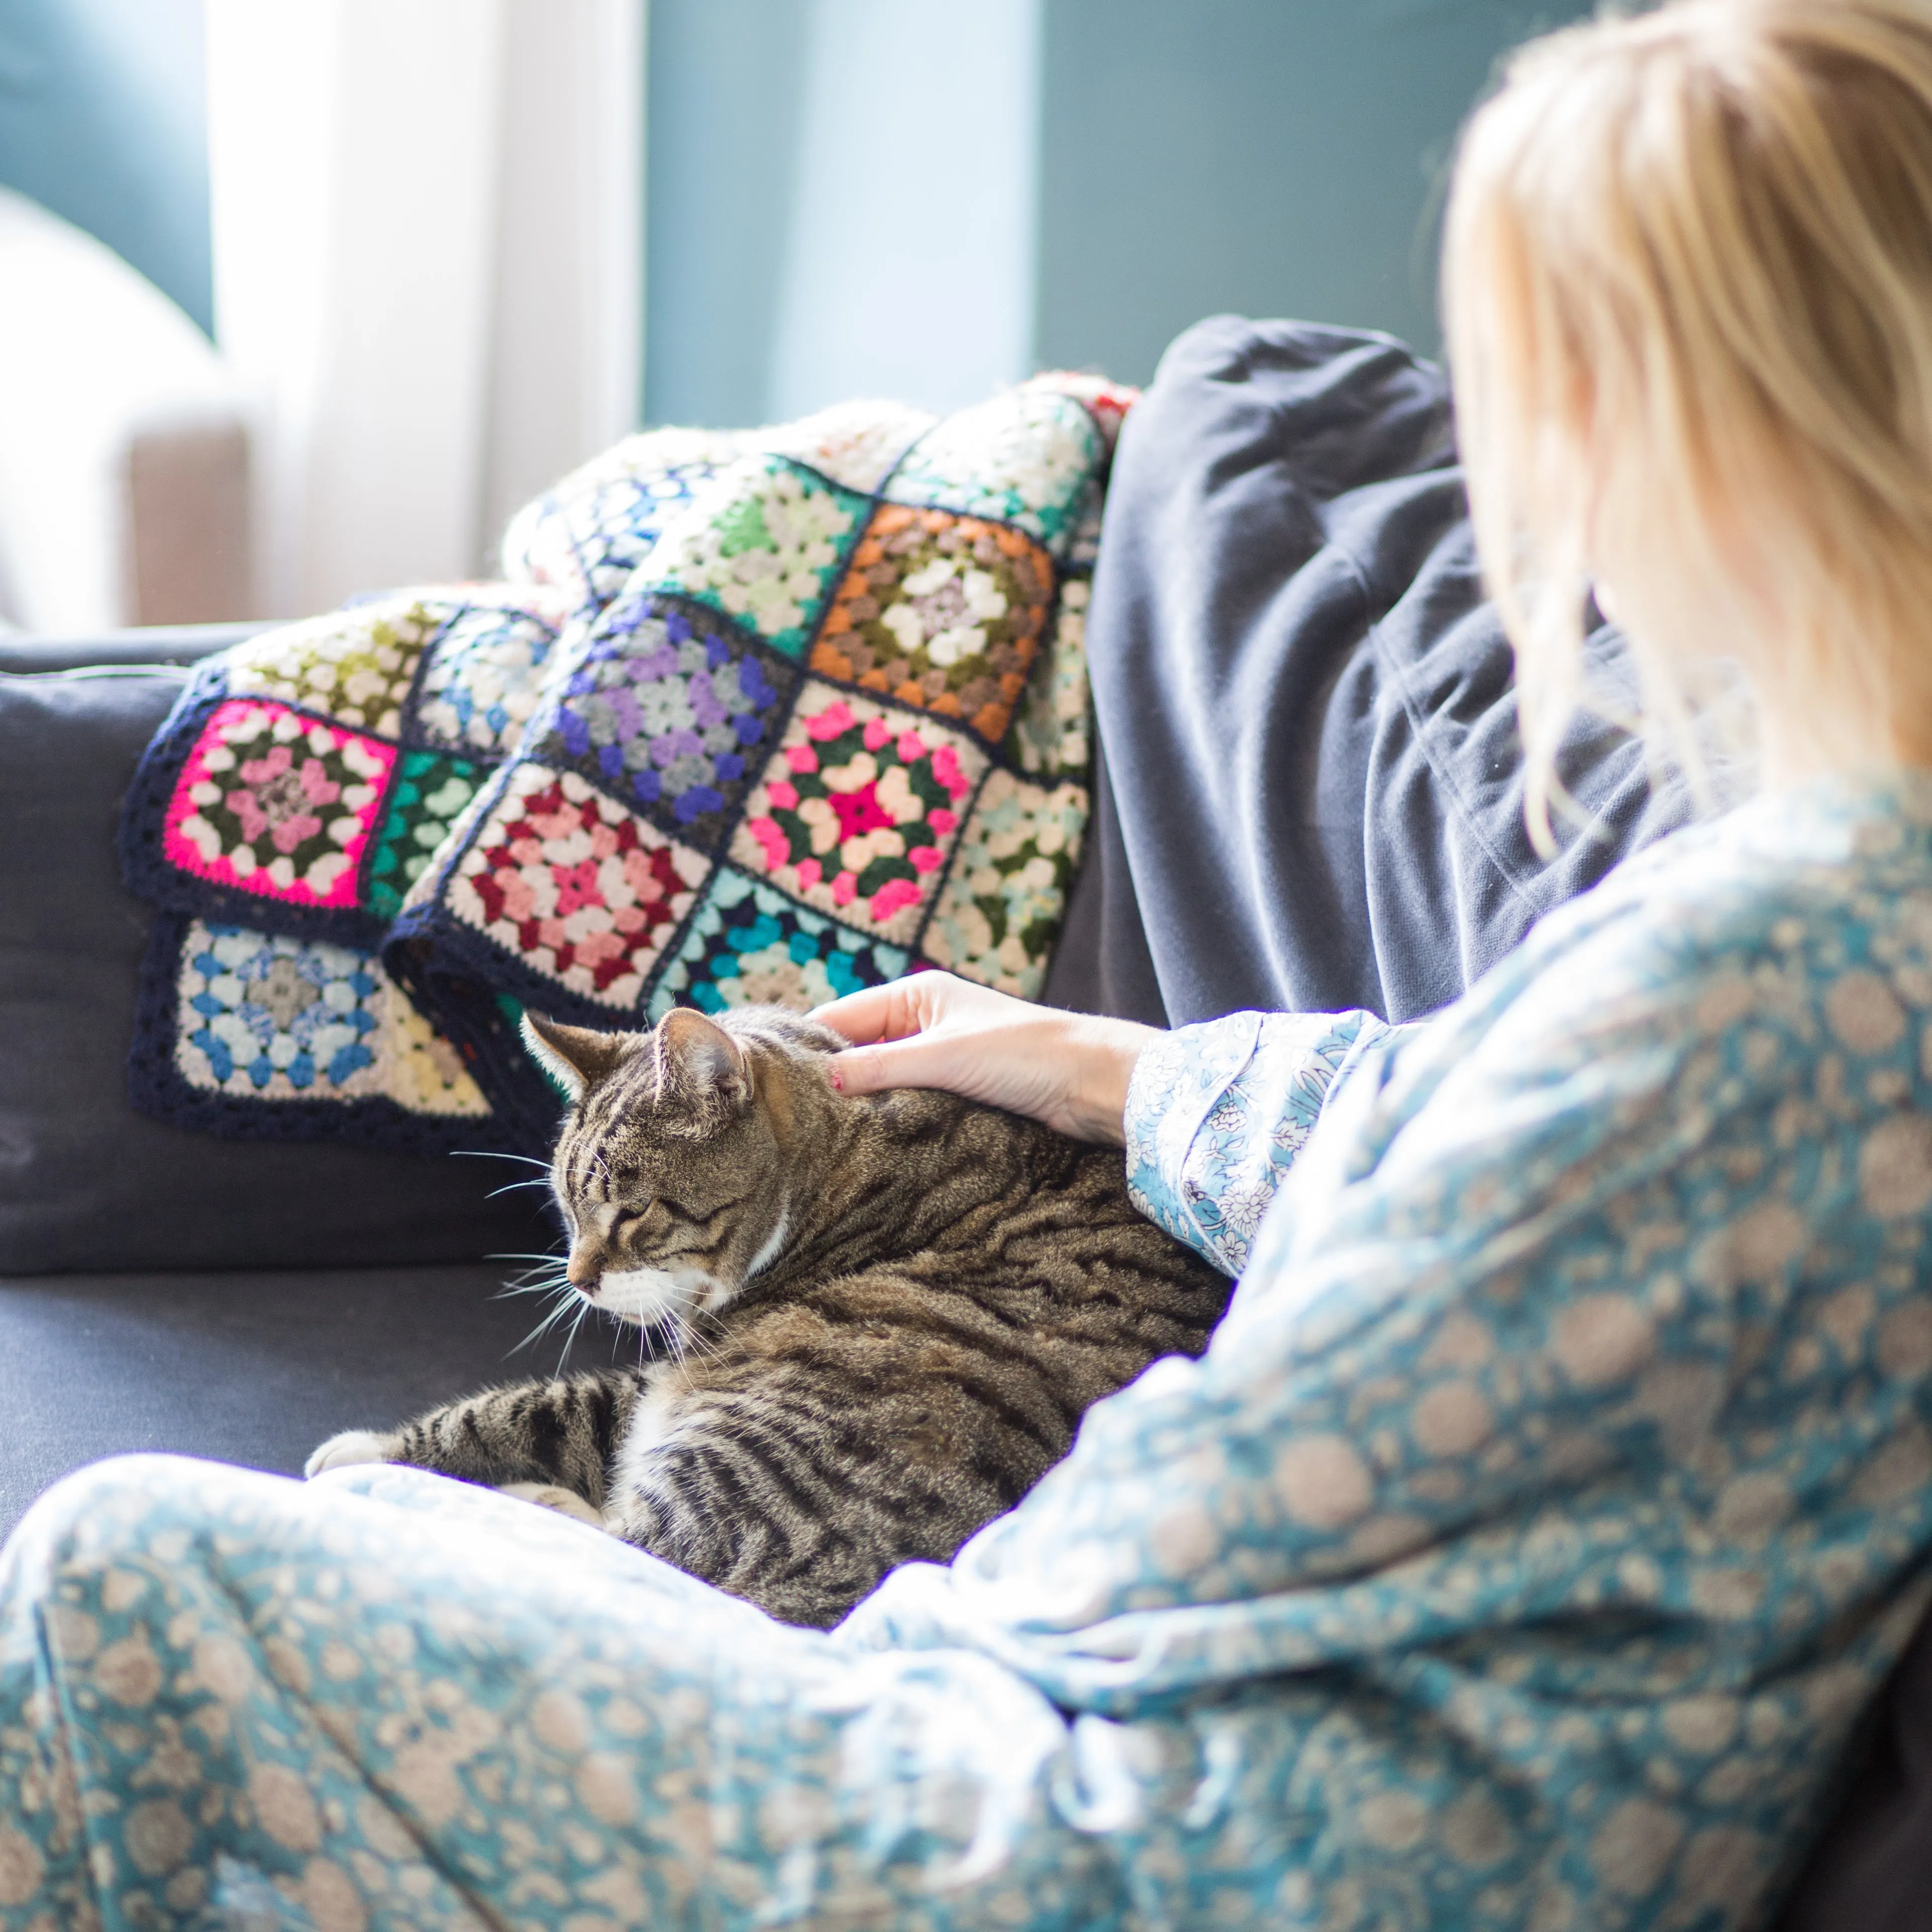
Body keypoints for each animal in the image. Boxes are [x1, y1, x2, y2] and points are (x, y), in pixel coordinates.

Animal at [309, 1004, 1229, 1623]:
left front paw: (361, 1456)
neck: (849, 1163)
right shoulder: (654, 1378)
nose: (579, 1279)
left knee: (634, 1549)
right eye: (566, 1207)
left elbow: (526, 1412)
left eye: (631, 1212)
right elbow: (558, 1410)